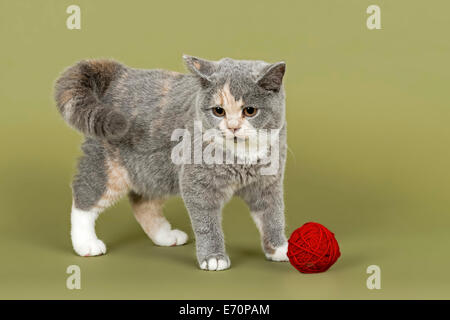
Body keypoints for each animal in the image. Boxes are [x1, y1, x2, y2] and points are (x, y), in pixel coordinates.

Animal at [54, 55, 290, 270]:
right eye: (218, 110)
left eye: (250, 110)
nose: (232, 127)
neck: (243, 157)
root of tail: (121, 73)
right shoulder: (196, 183)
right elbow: (207, 224)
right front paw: (214, 258)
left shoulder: (268, 183)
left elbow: (273, 215)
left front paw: (279, 249)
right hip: (110, 167)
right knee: (84, 194)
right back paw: (86, 244)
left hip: (156, 171)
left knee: (142, 202)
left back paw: (165, 236)